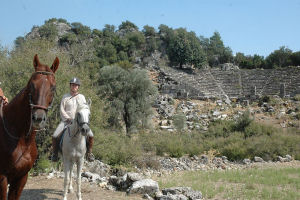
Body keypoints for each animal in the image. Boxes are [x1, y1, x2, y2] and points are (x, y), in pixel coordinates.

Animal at [0, 54, 59, 199]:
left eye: (53, 87)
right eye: (32, 85)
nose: (38, 118)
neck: (21, 140)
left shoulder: (21, 178)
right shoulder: (2, 179)